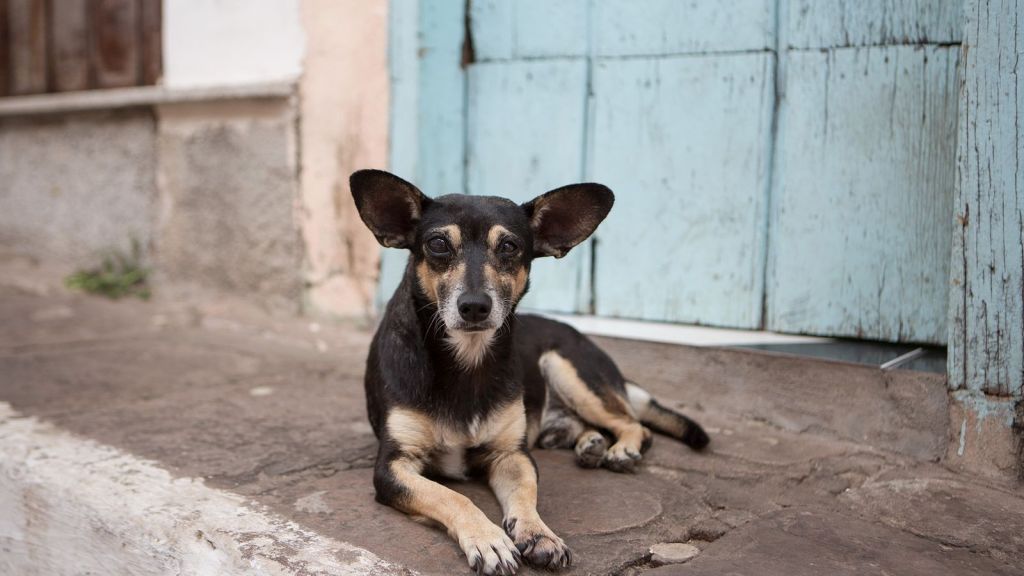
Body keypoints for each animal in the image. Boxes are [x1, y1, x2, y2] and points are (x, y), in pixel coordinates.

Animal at [348, 168, 708, 569]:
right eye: (438, 244)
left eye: (509, 247)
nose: (475, 306)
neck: (467, 360)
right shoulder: (394, 466)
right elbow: (452, 496)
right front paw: (489, 539)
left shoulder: (512, 455)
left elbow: (526, 493)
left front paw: (538, 534)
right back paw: (591, 444)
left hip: (567, 369)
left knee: (634, 424)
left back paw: (620, 449)